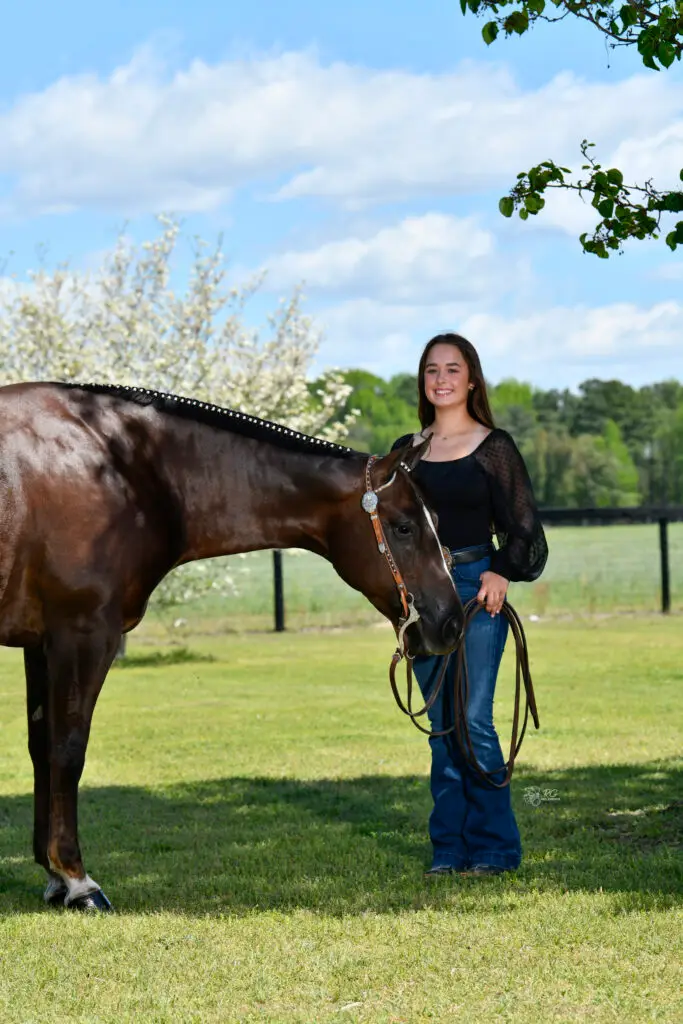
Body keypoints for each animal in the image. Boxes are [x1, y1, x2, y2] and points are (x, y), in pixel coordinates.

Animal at [0, 381, 463, 912]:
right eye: (404, 526)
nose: (452, 622)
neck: (123, 466)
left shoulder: (40, 643)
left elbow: (41, 747)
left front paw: (54, 877)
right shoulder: (81, 633)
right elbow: (67, 749)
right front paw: (78, 881)